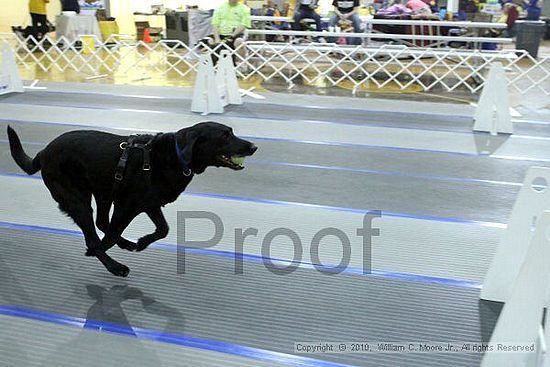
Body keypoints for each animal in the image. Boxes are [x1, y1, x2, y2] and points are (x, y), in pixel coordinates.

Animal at [8, 122, 258, 278]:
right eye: (225, 135)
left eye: (231, 132)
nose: (254, 147)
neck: (176, 156)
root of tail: (43, 152)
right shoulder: (126, 206)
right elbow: (108, 236)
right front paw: (106, 251)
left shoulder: (150, 204)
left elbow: (163, 229)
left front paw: (141, 242)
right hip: (79, 200)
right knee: (94, 234)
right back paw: (114, 266)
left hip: (103, 191)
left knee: (101, 223)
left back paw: (125, 244)